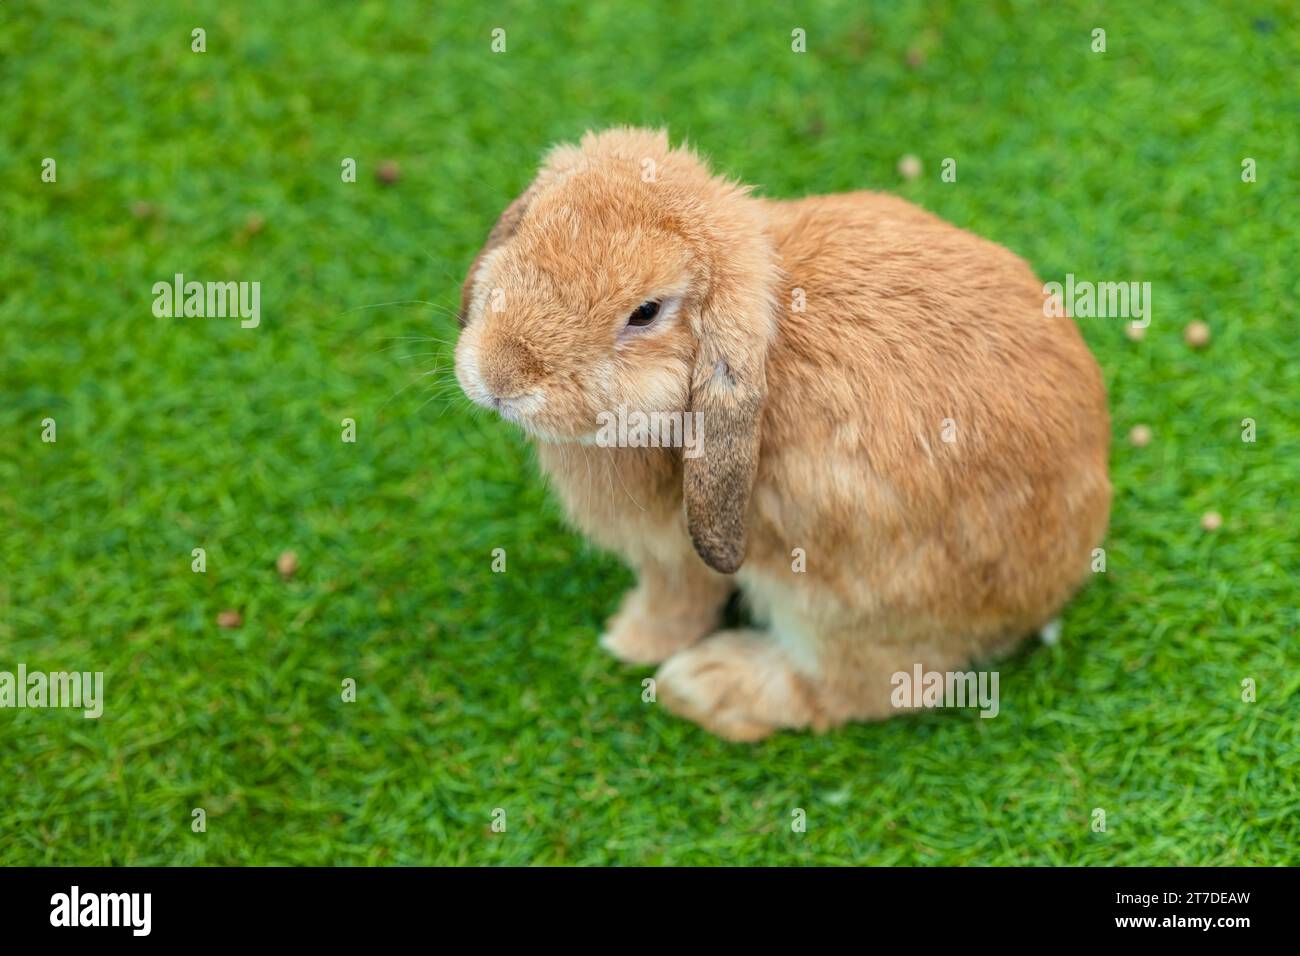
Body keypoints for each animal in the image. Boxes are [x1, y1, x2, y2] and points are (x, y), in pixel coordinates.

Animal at [454, 127, 1110, 741]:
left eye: (646, 312)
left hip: (840, 604)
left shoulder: (678, 553)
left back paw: (706, 684)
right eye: (527, 229)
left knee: (858, 691)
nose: (499, 377)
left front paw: (630, 641)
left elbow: (676, 603)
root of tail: (1056, 578)